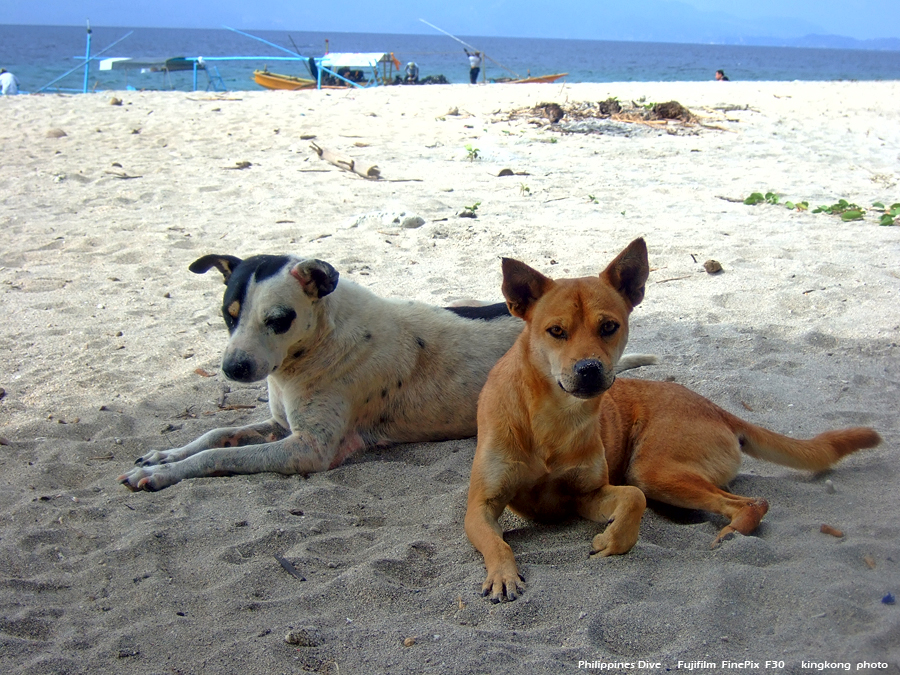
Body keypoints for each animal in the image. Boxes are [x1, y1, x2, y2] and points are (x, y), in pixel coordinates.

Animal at [468, 238, 884, 604]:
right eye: (556, 331)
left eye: (609, 326)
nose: (589, 370)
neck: (553, 419)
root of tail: (712, 406)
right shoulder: (481, 507)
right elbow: (498, 543)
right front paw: (504, 576)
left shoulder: (585, 495)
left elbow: (632, 500)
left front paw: (612, 540)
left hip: (654, 469)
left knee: (751, 501)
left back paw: (733, 532)